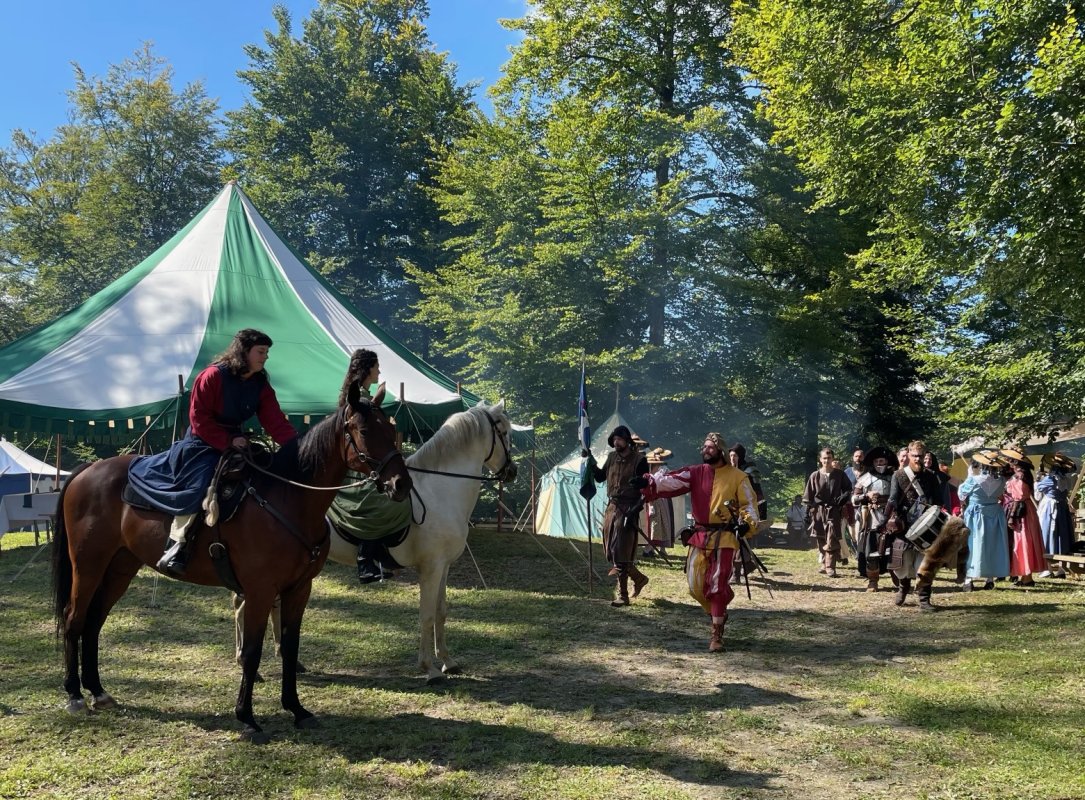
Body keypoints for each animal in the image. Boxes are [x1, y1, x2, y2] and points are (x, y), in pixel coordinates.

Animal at [49, 379, 410, 742]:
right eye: (364, 430)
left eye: (392, 429)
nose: (401, 484)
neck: (288, 499)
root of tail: (86, 472)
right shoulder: (260, 591)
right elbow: (251, 653)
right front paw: (247, 718)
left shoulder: (298, 589)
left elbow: (290, 648)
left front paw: (297, 709)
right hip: (89, 565)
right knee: (74, 618)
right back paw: (75, 695)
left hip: (120, 567)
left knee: (94, 622)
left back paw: (98, 691)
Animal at [325, 397, 516, 681]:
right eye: (503, 432)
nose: (512, 471)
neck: (439, 491)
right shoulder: (430, 568)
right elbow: (426, 616)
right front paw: (430, 669)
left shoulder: (443, 567)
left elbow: (440, 612)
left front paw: (448, 661)